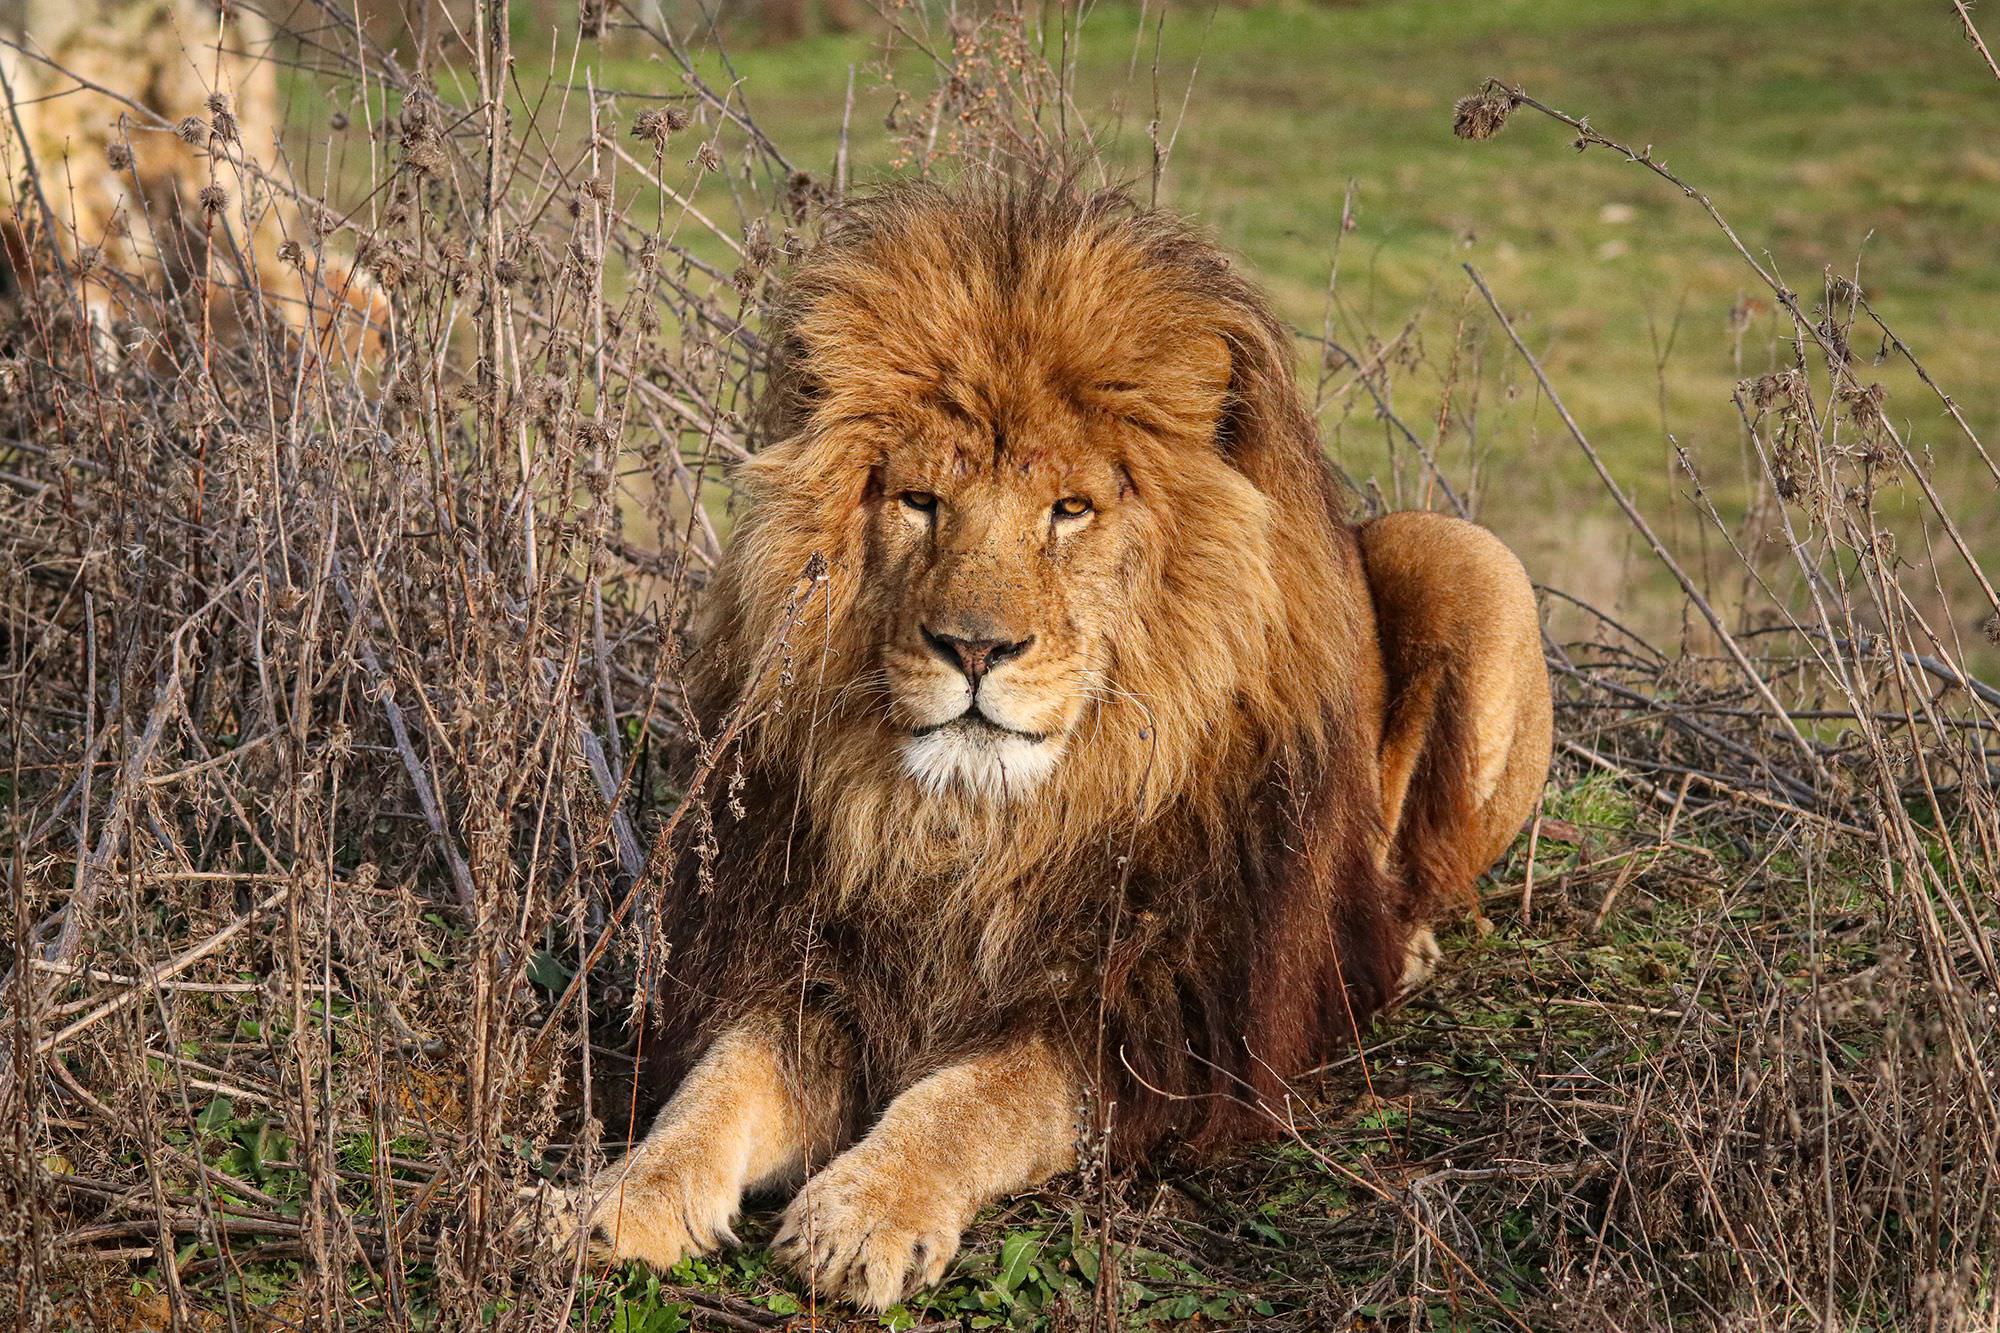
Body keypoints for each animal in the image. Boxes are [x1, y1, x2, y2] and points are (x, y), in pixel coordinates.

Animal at [556, 179, 1552, 1304]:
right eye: (920, 500)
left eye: (1069, 509)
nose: (974, 647)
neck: (978, 827)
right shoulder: (824, 967)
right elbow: (716, 1084)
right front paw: (614, 1201)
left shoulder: (1152, 1020)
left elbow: (975, 1095)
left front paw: (865, 1212)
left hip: (1468, 558)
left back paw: (1398, 940)